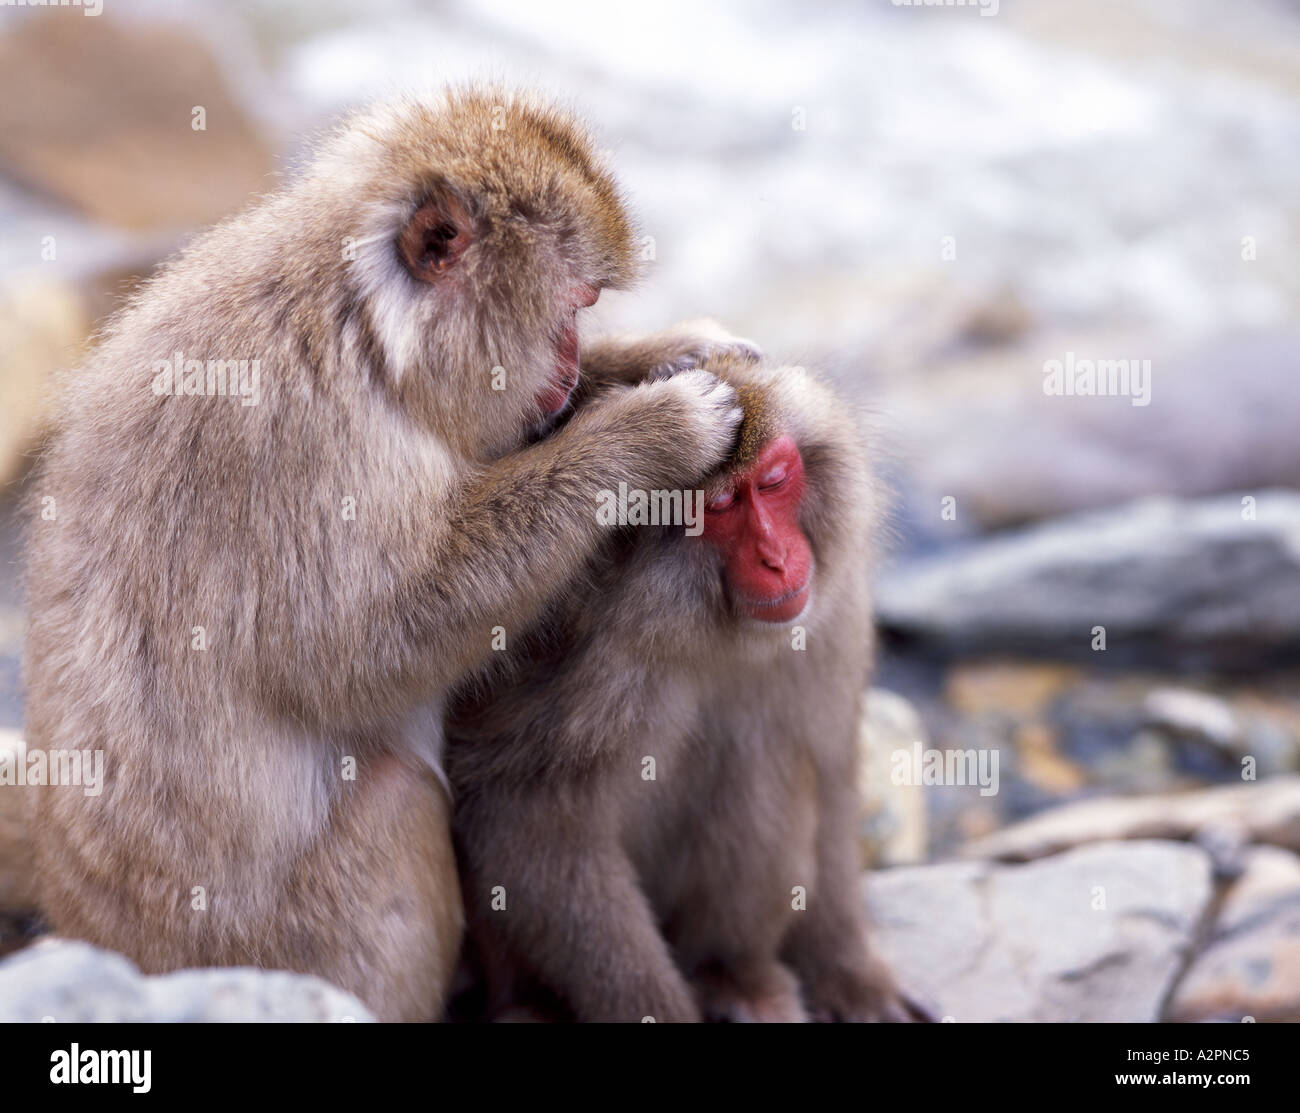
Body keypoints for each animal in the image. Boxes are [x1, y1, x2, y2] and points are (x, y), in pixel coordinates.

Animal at [22, 87, 749, 1022]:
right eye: (575, 304)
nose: (568, 365)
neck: (363, 328)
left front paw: (661, 353)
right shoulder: (302, 445)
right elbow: (359, 650)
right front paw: (650, 433)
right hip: (299, 945)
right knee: (397, 792)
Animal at [445, 350, 917, 1023]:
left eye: (773, 482)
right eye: (719, 509)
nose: (777, 560)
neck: (716, 629)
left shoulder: (833, 616)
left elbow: (829, 770)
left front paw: (849, 972)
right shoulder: (597, 666)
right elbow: (527, 821)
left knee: (767, 759)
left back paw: (733, 975)